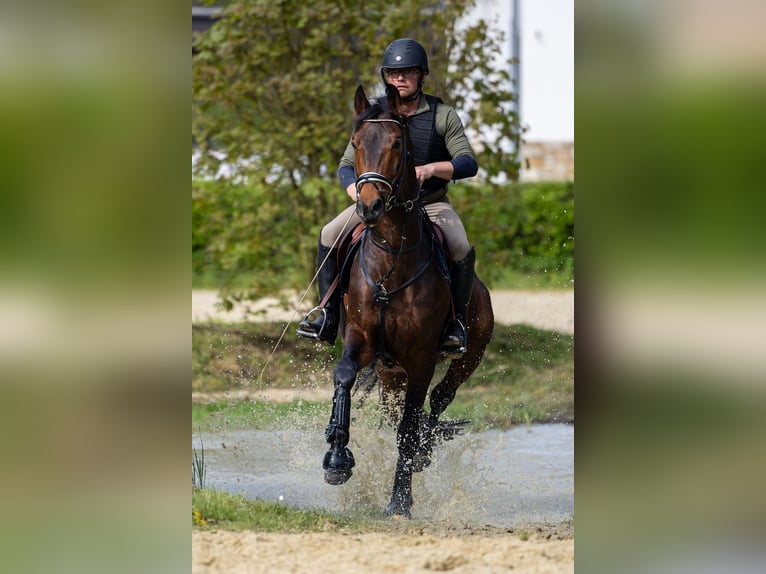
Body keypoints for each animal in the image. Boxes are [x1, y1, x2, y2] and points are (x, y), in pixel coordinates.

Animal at [320, 83, 496, 520]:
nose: (368, 207)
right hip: (389, 374)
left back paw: (425, 451)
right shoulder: (362, 338)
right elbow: (344, 376)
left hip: (468, 355)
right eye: (355, 143)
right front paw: (337, 457)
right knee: (394, 409)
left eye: (397, 144)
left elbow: (409, 426)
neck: (391, 261)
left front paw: (400, 499)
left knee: (438, 400)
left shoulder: (421, 358)